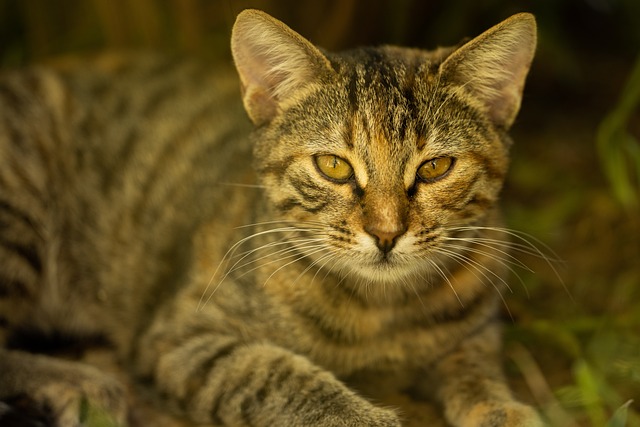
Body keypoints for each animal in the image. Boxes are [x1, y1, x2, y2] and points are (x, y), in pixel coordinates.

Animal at [0, 7, 544, 427]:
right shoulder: (179, 340)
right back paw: (85, 383)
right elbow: (278, 375)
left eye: (435, 167)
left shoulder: (475, 330)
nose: (386, 232)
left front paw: (503, 409)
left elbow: (477, 369)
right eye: (333, 165)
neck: (378, 312)